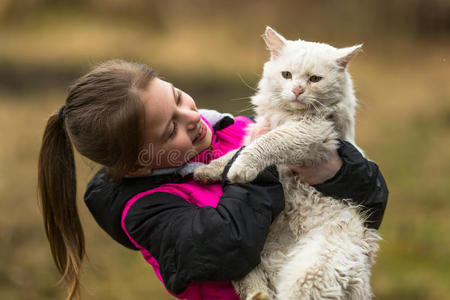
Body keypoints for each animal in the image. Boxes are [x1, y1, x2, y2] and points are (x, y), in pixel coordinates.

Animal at [195, 27, 382, 298]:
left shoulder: (310, 133)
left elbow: (265, 144)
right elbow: (238, 150)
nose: (296, 91)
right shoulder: (263, 129)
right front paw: (208, 170)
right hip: (255, 256)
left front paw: (240, 170)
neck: (290, 114)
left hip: (307, 275)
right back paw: (258, 294)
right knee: (249, 278)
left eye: (314, 79)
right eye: (286, 75)